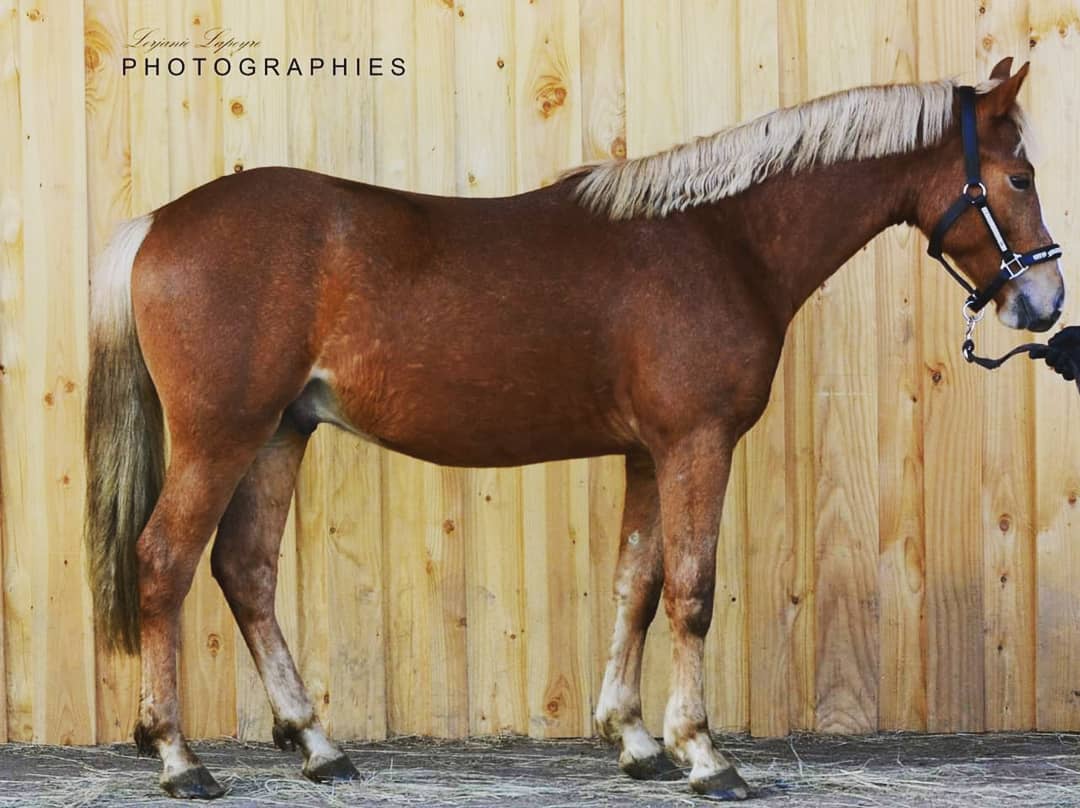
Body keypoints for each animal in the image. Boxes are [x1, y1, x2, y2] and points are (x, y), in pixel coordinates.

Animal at [84, 59, 1062, 799]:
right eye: (1018, 178)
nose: (1044, 302)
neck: (722, 240)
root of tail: (156, 224)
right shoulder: (697, 444)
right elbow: (692, 592)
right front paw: (706, 755)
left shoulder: (649, 454)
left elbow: (637, 584)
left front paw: (634, 740)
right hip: (222, 434)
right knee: (165, 562)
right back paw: (179, 758)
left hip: (280, 433)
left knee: (244, 570)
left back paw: (318, 745)